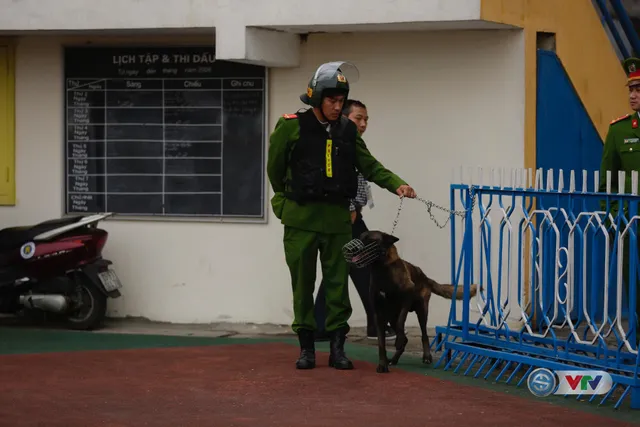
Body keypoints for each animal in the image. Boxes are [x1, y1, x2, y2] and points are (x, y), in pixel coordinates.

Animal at [352, 231, 478, 374]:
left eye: (370, 239)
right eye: (360, 237)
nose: (353, 249)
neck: (382, 269)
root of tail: (426, 278)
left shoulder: (406, 299)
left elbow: (401, 322)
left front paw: (398, 342)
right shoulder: (379, 315)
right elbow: (381, 344)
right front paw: (383, 364)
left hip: (421, 310)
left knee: (424, 334)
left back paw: (426, 355)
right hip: (392, 317)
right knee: (405, 338)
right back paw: (394, 359)